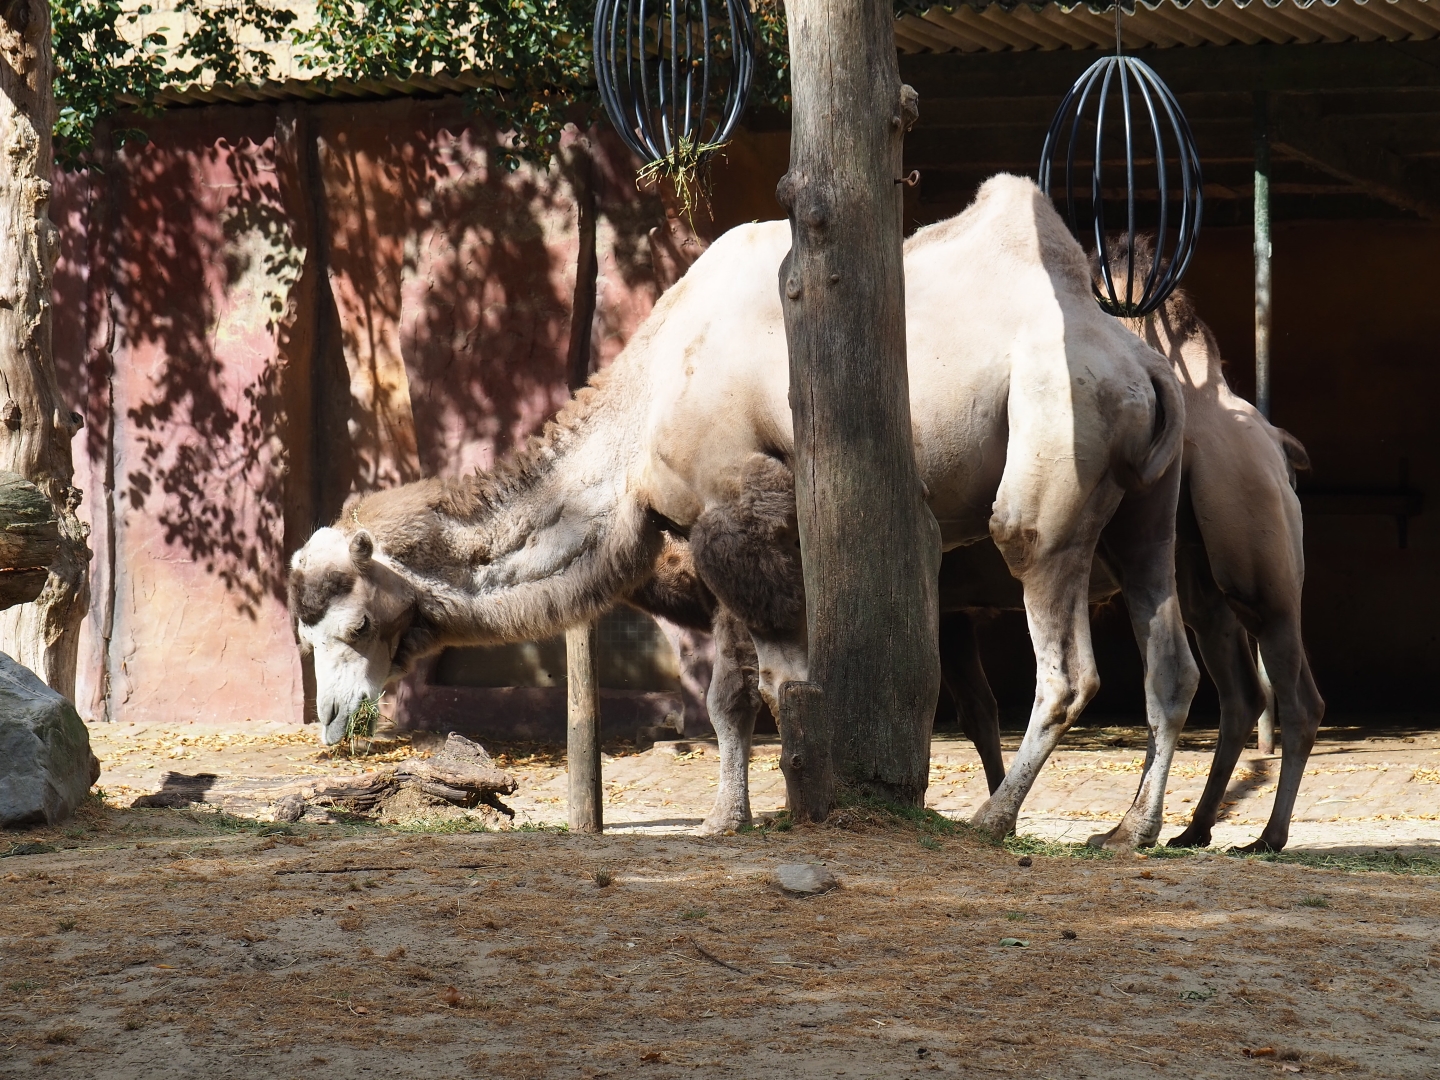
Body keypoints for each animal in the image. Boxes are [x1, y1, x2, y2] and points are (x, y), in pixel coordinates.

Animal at [288, 175, 1198, 849]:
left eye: (356, 623)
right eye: (305, 635)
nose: (331, 718)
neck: (643, 410)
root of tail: (1142, 368)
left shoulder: (742, 508)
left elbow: (779, 678)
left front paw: (794, 809)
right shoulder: (703, 531)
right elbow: (730, 694)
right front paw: (726, 819)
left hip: (1052, 459)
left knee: (1067, 658)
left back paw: (993, 817)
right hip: (1148, 509)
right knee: (1170, 660)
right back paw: (1132, 828)